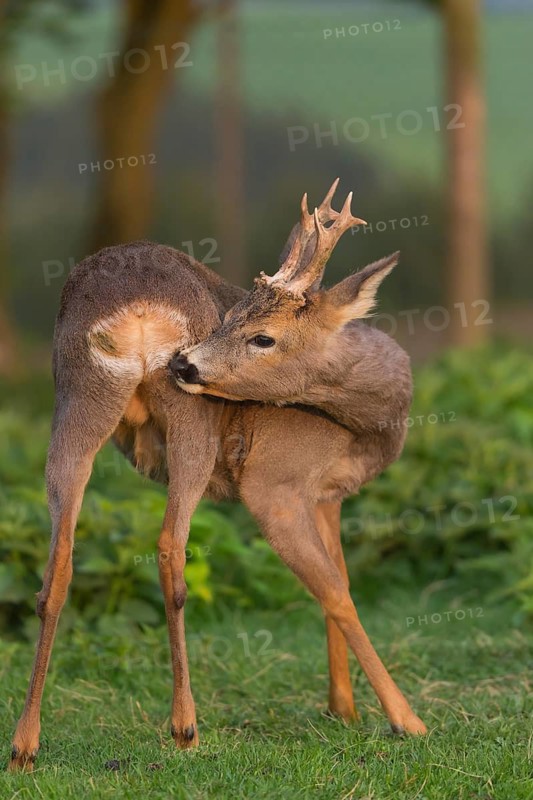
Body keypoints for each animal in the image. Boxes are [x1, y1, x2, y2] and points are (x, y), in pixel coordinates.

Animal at [9, 180, 426, 772]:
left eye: (262, 336)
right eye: (232, 319)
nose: (184, 363)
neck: (363, 424)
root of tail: (136, 307)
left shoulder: (327, 495)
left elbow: (337, 583)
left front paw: (342, 709)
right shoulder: (275, 484)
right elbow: (336, 591)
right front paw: (406, 721)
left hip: (76, 397)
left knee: (59, 562)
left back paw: (24, 745)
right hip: (193, 423)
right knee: (169, 547)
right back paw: (185, 728)